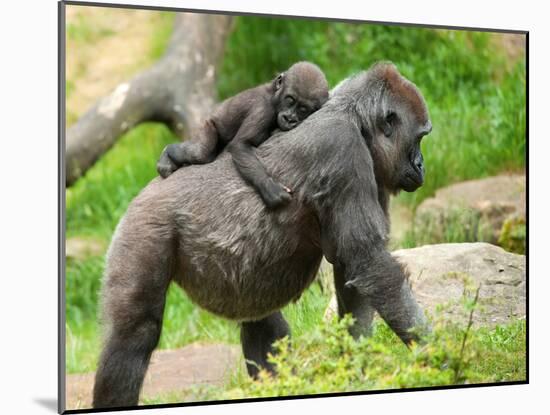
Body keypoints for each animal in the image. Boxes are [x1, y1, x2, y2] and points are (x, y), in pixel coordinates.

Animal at [157, 62, 330, 210]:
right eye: (290, 100)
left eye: (303, 109)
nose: (290, 118)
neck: (274, 96)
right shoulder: (263, 109)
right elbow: (241, 145)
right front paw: (269, 186)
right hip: (207, 124)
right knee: (199, 153)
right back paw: (168, 153)